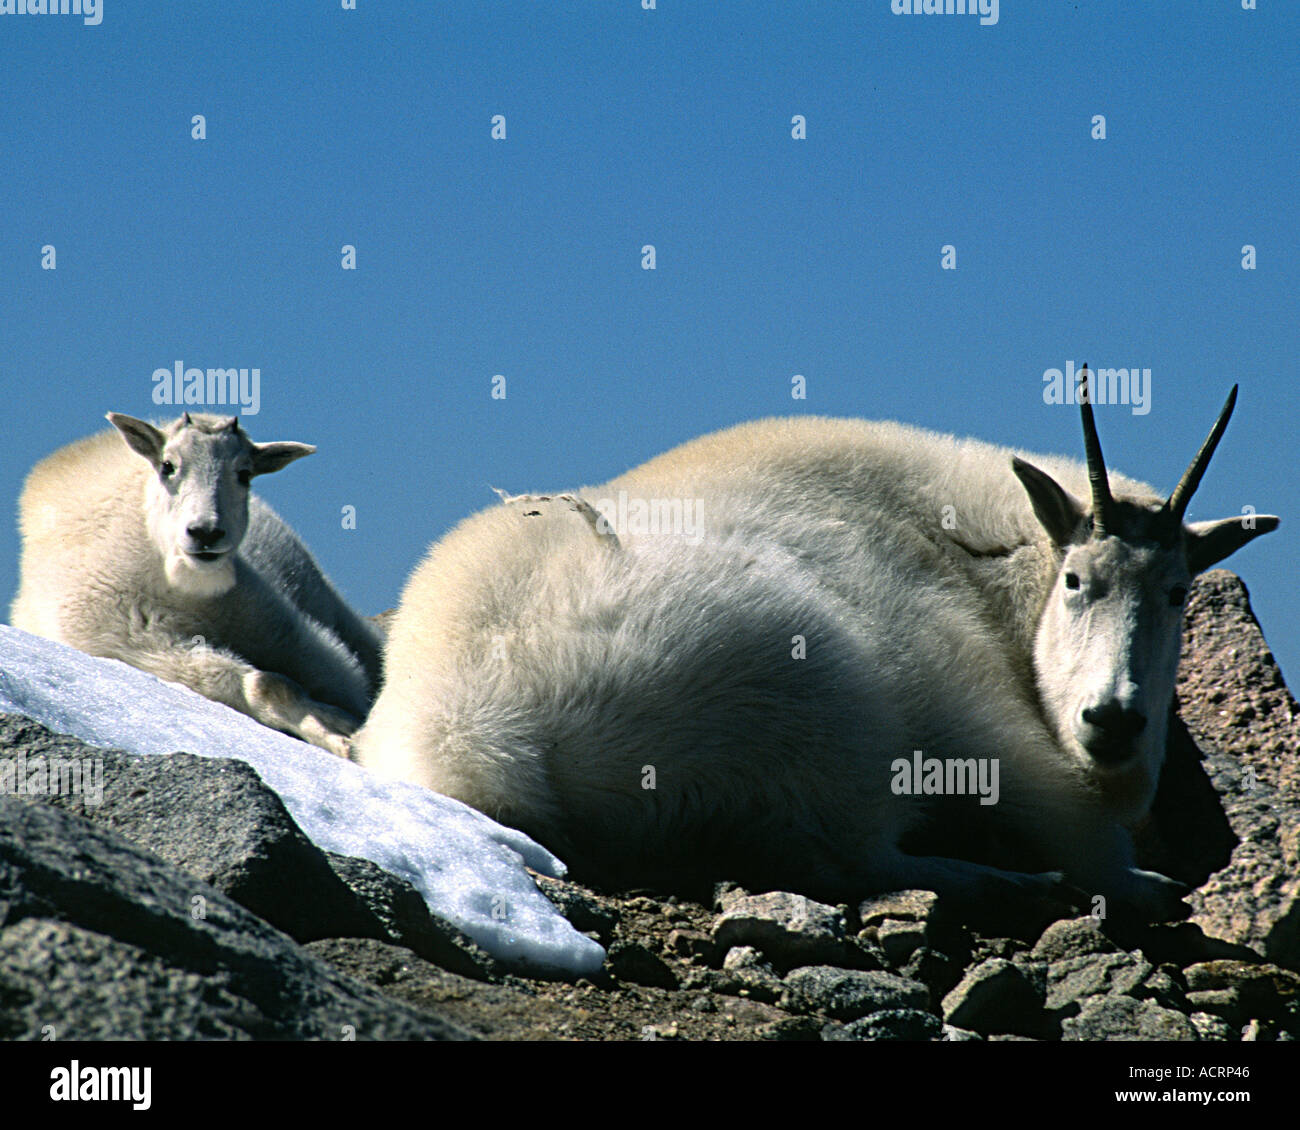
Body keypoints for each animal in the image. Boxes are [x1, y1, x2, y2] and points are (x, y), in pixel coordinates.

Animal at [11, 412, 383, 758]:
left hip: (325, 600)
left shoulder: (284, 634)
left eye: (244, 473)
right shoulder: (140, 646)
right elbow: (266, 684)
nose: (206, 533)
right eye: (168, 466)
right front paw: (337, 733)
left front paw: (350, 729)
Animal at [354, 372, 1278, 920]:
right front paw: (1137, 876)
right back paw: (1015, 879)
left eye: (1177, 592)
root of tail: (470, 734)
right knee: (856, 857)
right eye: (1078, 579)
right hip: (833, 710)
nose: (1113, 722)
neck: (973, 547)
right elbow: (1082, 830)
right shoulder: (970, 705)